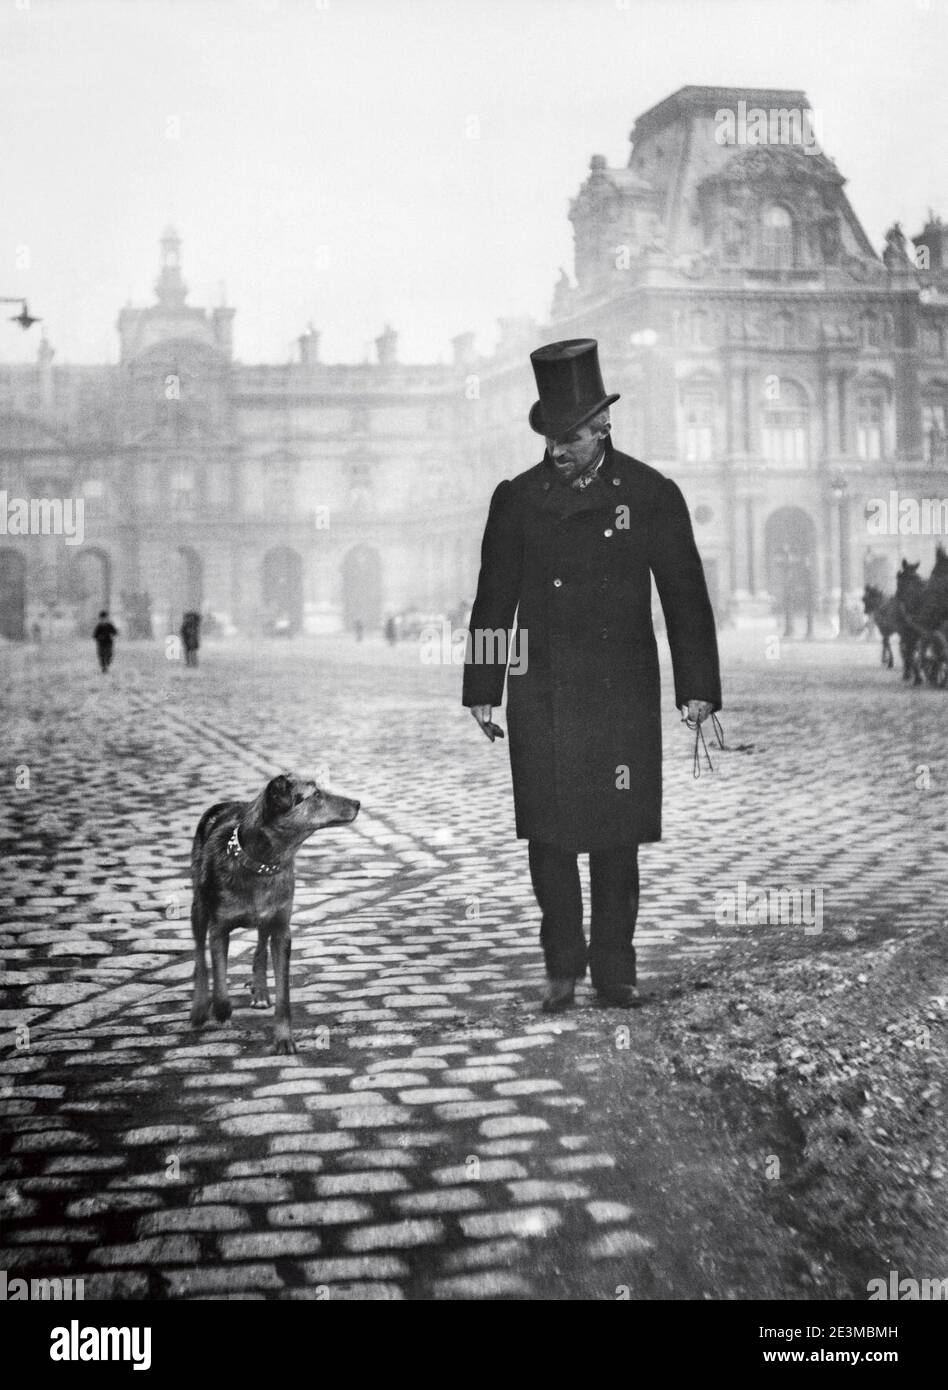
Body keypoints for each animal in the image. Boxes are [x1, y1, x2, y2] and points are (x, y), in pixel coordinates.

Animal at [187, 772, 358, 1050]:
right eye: (316, 795)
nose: (358, 803)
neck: (262, 864)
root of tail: (224, 804)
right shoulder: (219, 927)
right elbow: (219, 976)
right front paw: (220, 1009)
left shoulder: (281, 927)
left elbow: (283, 994)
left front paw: (284, 1039)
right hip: (199, 906)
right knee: (200, 957)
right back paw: (200, 1008)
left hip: (268, 918)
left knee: (259, 946)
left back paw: (260, 991)